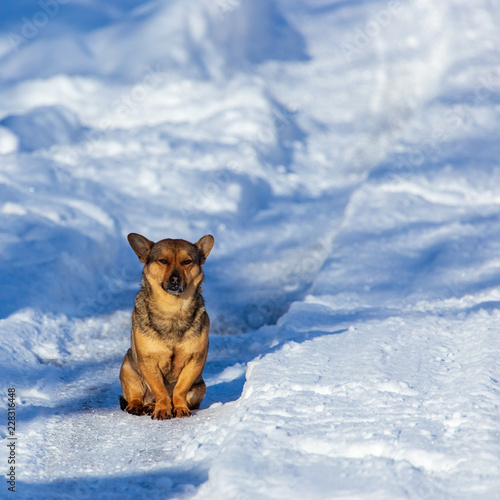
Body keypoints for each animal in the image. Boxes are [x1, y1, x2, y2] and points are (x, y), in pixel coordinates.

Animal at [121, 232, 215, 420]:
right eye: (163, 261)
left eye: (187, 261)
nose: (175, 279)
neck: (172, 308)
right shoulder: (147, 360)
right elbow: (160, 389)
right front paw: (163, 409)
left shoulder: (195, 359)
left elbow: (180, 389)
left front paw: (179, 407)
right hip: (127, 368)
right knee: (136, 396)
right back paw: (137, 406)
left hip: (200, 388)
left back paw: (153, 406)